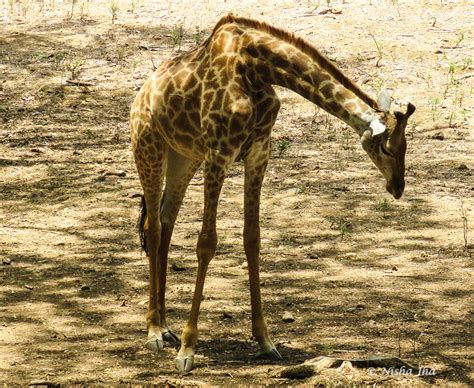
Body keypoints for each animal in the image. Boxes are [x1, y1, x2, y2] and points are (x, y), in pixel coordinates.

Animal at [130, 14, 414, 372]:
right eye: (388, 148)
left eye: (406, 147)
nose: (398, 186)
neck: (255, 69)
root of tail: (142, 94)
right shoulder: (219, 154)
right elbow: (206, 243)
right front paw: (187, 348)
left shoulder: (258, 153)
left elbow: (252, 238)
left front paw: (265, 340)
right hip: (149, 148)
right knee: (153, 226)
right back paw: (154, 330)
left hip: (184, 158)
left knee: (166, 222)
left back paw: (166, 325)